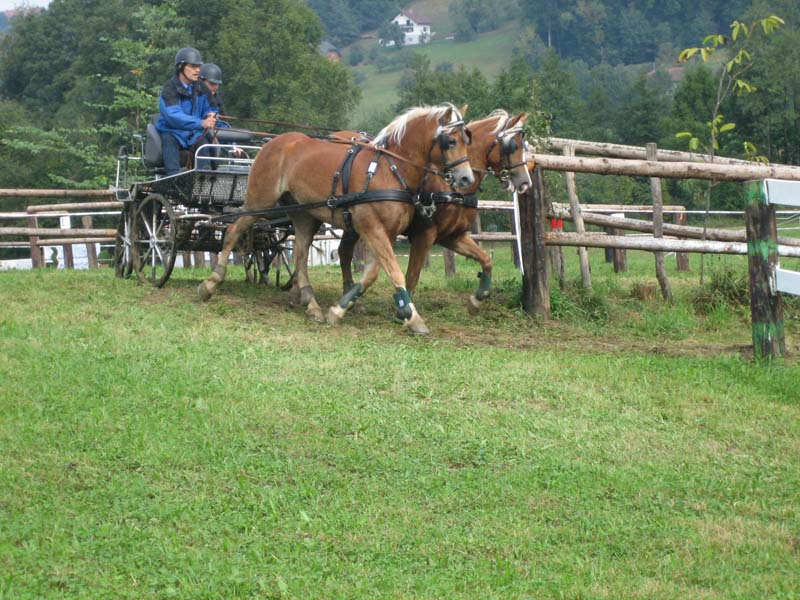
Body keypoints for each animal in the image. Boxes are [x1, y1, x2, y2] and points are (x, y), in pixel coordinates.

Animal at [197, 104, 475, 335]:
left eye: (467, 139)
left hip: (303, 214)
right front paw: (414, 318)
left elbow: (372, 273)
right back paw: (211, 283)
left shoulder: (386, 232)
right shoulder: (372, 228)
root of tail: (273, 142)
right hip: (259, 201)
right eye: (450, 141)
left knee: (299, 255)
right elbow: (393, 272)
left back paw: (311, 304)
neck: (390, 169)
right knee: (233, 230)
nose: (466, 178)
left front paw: (339, 309)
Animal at [337, 110, 531, 315]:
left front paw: (477, 299)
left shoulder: (452, 236)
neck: (451, 188)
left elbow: (486, 260)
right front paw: (405, 310)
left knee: (344, 253)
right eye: (513, 146)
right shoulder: (424, 234)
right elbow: (412, 275)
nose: (526, 182)